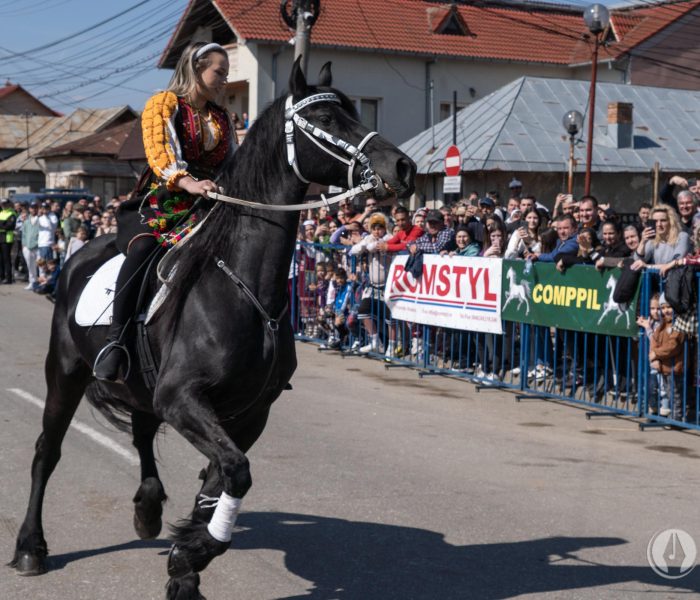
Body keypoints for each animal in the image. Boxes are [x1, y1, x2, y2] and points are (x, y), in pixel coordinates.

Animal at [12, 62, 416, 600]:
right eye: (328, 118)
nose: (403, 168)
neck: (243, 286)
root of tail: (78, 254)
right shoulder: (183, 398)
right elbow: (234, 473)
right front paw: (193, 550)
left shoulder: (248, 412)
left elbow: (221, 479)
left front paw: (187, 561)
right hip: (65, 371)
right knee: (47, 452)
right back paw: (30, 548)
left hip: (141, 387)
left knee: (141, 433)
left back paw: (148, 507)